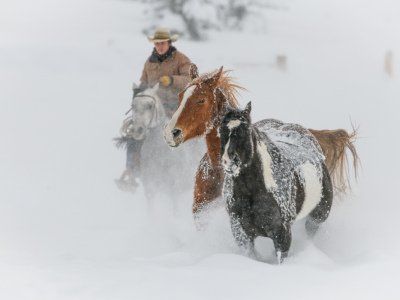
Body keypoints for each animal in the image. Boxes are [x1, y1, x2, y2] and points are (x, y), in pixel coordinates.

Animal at [220, 102, 332, 262]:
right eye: (221, 130)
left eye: (245, 130)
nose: (228, 161)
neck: (252, 192)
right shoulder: (241, 233)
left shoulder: (281, 234)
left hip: (316, 218)